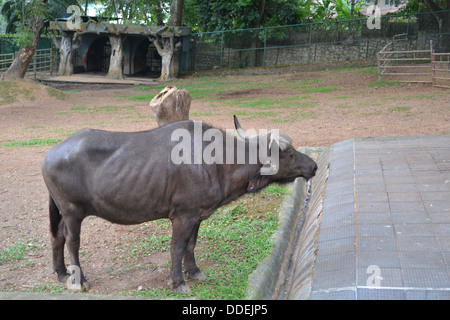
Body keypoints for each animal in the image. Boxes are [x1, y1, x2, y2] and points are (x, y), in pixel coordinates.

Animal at [41, 116, 316, 294]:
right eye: (290, 153)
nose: (313, 166)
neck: (216, 162)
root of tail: (49, 155)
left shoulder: (197, 216)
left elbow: (191, 245)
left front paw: (193, 272)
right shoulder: (183, 216)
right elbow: (177, 248)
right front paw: (178, 282)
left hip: (62, 212)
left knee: (57, 236)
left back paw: (61, 272)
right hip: (72, 211)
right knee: (72, 241)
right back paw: (78, 279)